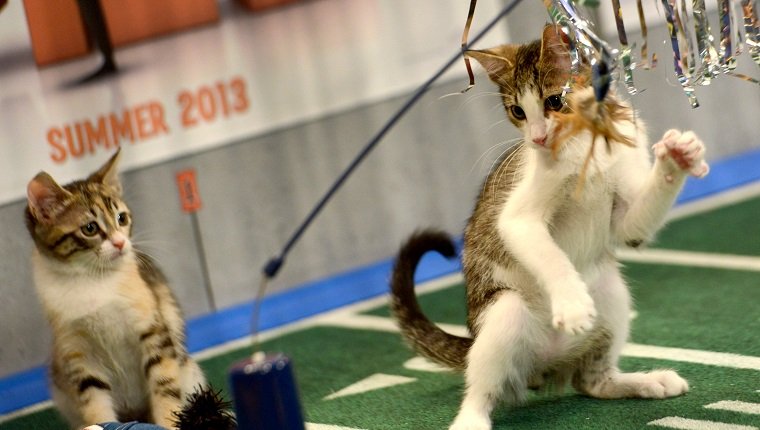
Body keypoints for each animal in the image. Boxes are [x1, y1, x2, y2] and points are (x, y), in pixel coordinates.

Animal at [26, 149, 205, 430]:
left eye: (122, 218)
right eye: (90, 228)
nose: (121, 242)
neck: (91, 280)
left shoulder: (154, 329)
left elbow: (164, 384)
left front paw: (167, 421)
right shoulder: (77, 353)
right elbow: (94, 401)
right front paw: (100, 423)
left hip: (190, 371)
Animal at [388, 25, 708, 428]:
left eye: (555, 101)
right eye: (517, 111)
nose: (538, 138)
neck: (586, 147)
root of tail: (546, 366)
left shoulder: (626, 211)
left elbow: (633, 224)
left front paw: (678, 158)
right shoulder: (517, 216)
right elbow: (547, 254)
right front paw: (571, 305)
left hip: (611, 292)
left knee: (592, 381)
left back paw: (645, 382)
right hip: (503, 312)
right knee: (483, 386)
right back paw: (471, 418)